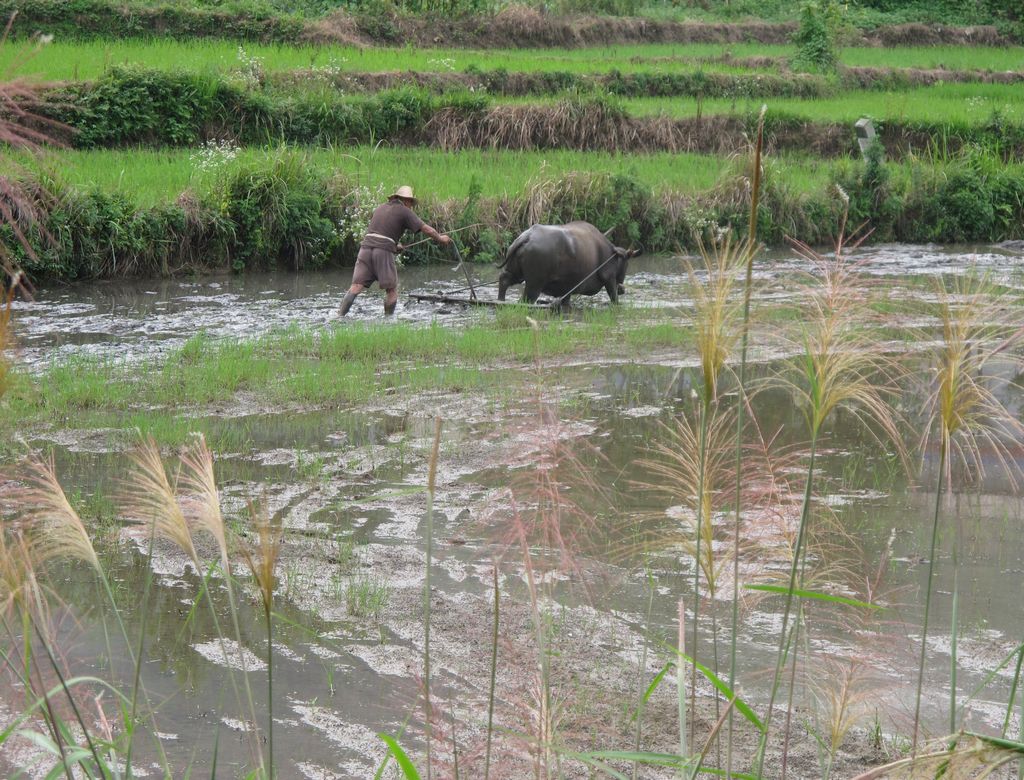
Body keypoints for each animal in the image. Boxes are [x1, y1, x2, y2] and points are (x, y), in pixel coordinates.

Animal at [497, 220, 638, 305]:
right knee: (525, 300)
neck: (611, 254)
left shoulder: (567, 289)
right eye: (626, 263)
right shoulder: (609, 279)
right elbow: (614, 297)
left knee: (504, 279)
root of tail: (527, 236)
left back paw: (500, 301)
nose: (622, 289)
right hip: (534, 284)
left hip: (515, 272)